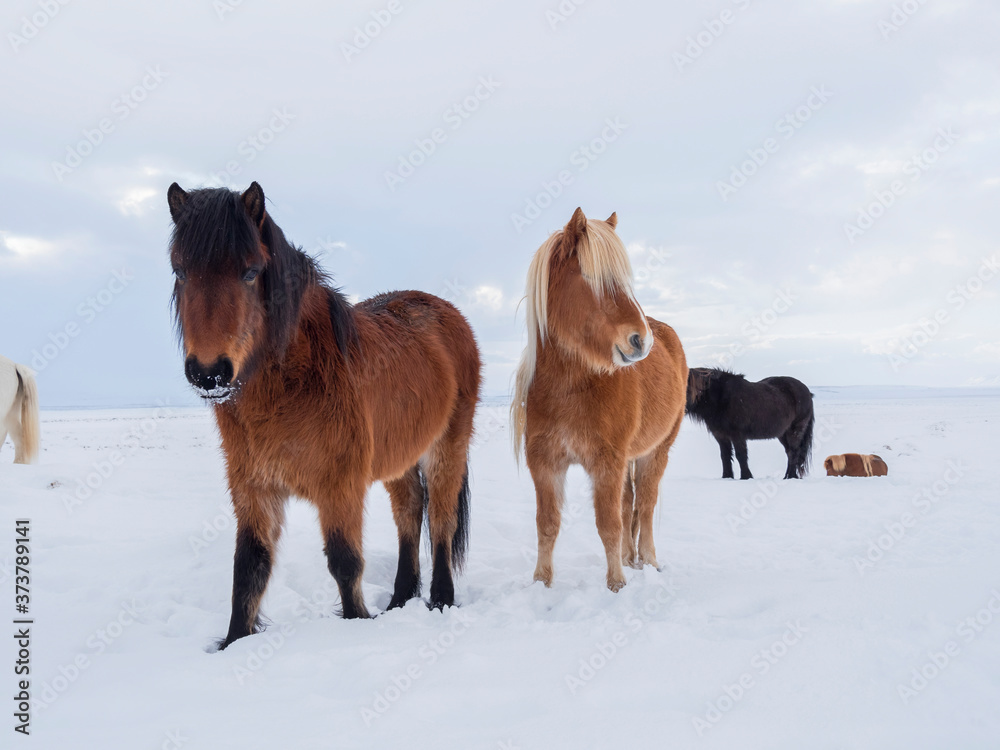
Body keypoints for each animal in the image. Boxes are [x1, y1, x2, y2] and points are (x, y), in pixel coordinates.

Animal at [167, 182, 481, 649]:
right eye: (180, 271)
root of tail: (447, 312)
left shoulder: (340, 486)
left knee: (442, 519)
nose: (210, 373)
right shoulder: (254, 488)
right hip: (398, 459)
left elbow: (344, 562)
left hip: (447, 447)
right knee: (410, 510)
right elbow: (249, 568)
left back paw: (440, 600)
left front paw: (357, 624)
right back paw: (400, 599)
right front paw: (235, 642)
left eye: (250, 271)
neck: (295, 381)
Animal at [511, 208, 687, 593]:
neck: (569, 389)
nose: (641, 341)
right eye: (591, 278)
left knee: (645, 506)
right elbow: (547, 524)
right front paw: (541, 583)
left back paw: (648, 562)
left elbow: (609, 524)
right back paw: (629, 558)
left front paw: (616, 585)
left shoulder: (607, 463)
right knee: (630, 504)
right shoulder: (545, 463)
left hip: (656, 451)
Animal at [686, 368, 814, 480]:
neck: (721, 397)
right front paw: (727, 477)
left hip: (796, 430)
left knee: (793, 452)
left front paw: (746, 477)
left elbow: (741, 455)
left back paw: (791, 476)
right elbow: (725, 456)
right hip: (783, 434)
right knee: (789, 452)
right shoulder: (720, 435)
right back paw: (787, 476)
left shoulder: (737, 435)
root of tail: (807, 391)